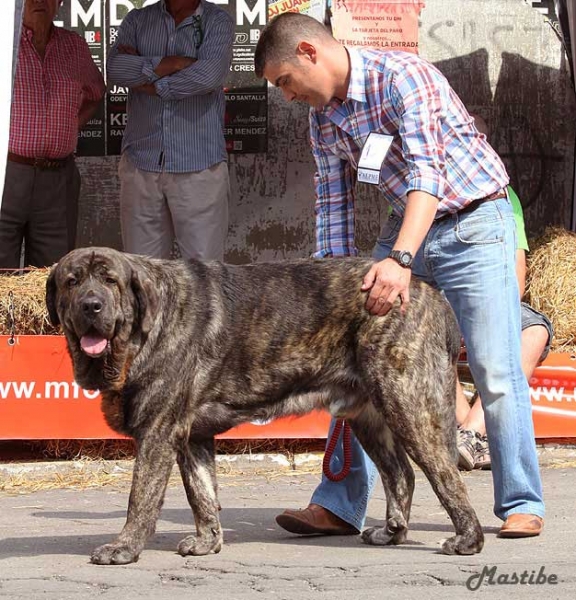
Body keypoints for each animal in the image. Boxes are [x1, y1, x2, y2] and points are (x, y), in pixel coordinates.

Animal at [47, 245, 484, 564]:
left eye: (110, 281)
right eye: (72, 281)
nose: (91, 305)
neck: (144, 327)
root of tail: (431, 295)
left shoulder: (158, 431)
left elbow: (141, 496)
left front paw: (124, 547)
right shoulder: (191, 437)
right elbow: (201, 493)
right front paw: (207, 542)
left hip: (408, 405)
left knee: (445, 476)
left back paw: (468, 540)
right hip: (368, 416)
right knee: (401, 475)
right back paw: (392, 533)